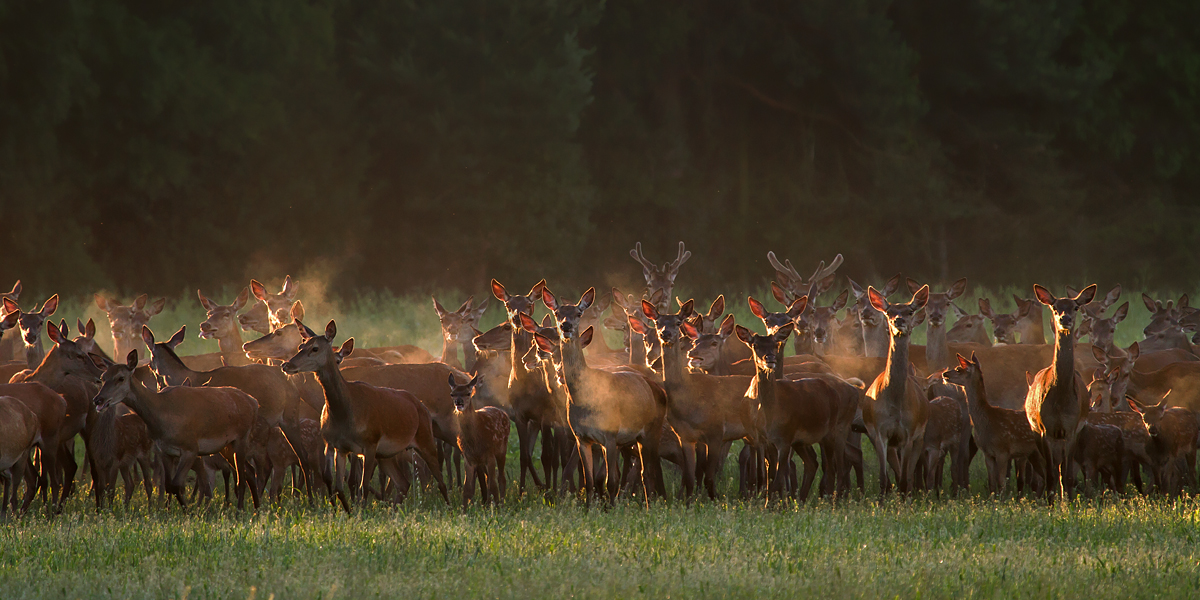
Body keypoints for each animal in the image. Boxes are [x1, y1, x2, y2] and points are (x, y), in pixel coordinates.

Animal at [448, 374, 508, 506]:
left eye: (468, 393)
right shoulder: (468, 458)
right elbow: (467, 489)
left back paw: (501, 502)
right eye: (452, 394)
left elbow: (493, 485)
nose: (458, 402)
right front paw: (464, 509)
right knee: (488, 478)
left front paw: (496, 508)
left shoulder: (490, 454)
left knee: (500, 478)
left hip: (502, 450)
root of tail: (503, 412)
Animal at [535, 285, 667, 506]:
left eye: (578, 313)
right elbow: (589, 481)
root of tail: (658, 388)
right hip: (638, 437)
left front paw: (612, 508)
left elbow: (610, 480)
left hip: (652, 430)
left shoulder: (611, 434)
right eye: (558, 313)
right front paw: (589, 508)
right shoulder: (582, 437)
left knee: (648, 471)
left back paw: (652, 505)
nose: (566, 325)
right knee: (645, 471)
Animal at [864, 283, 926, 494]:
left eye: (910, 311)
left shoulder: (908, 433)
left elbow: (905, 480)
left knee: (908, 475)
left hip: (919, 438)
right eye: (889, 311)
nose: (898, 320)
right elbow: (884, 479)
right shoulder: (880, 432)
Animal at [940, 352, 1046, 494]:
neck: (987, 421)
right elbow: (991, 483)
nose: (945, 374)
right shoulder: (988, 453)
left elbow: (1001, 483)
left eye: (958, 369)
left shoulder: (1003, 451)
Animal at [1022, 283, 1099, 499]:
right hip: (1036, 431)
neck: (1061, 400)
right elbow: (1050, 476)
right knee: (1052, 469)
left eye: (1075, 307)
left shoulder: (1072, 429)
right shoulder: (1045, 429)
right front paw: (1051, 502)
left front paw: (1069, 502)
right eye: (1055, 308)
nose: (1065, 319)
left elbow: (1068, 476)